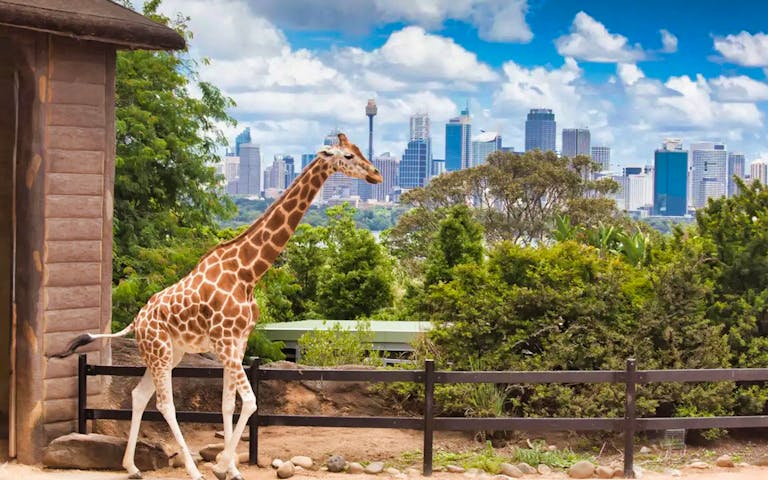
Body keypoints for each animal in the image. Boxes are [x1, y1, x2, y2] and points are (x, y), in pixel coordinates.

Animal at [52, 132, 382, 480]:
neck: (248, 271)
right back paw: (191, 470)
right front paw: (222, 465)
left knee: (139, 395)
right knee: (165, 404)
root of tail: (136, 322)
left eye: (358, 149)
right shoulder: (225, 342)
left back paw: (131, 466)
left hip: (170, 354)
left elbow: (228, 403)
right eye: (348, 155)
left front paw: (231, 468)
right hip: (161, 352)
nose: (376, 175)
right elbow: (249, 402)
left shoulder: (238, 342)